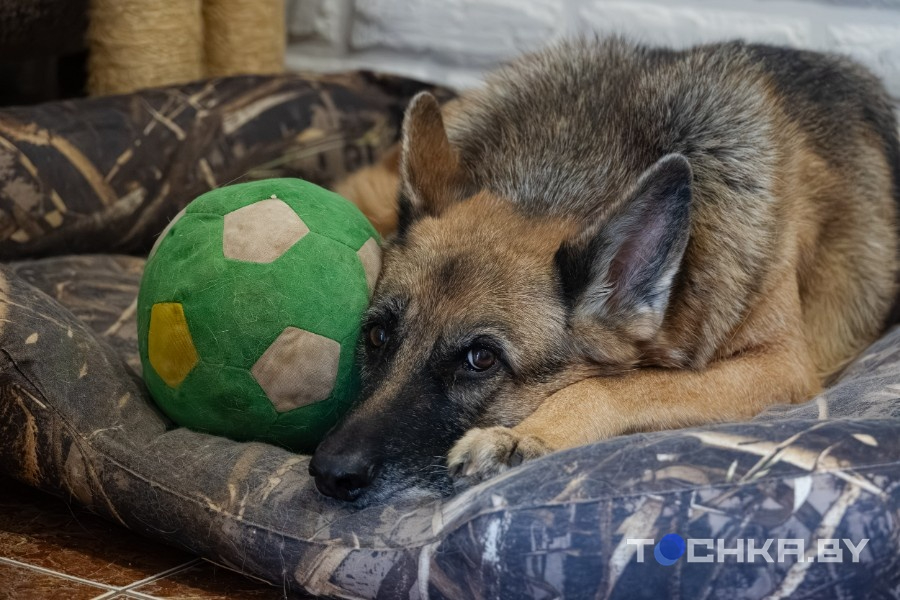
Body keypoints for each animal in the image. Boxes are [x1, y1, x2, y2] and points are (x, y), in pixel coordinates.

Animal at [308, 37, 900, 505]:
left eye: (481, 360)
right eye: (377, 336)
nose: (328, 474)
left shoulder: (779, 365)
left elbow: (623, 385)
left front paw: (524, 436)